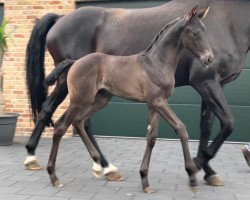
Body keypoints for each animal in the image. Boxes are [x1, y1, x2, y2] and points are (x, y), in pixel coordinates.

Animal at [47, 6, 213, 193]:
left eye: (204, 31)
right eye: (195, 33)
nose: (209, 58)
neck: (157, 63)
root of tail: (75, 62)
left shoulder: (153, 104)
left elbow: (151, 137)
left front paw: (145, 181)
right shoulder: (159, 101)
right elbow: (181, 128)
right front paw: (191, 175)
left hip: (99, 100)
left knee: (78, 121)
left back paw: (97, 165)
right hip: (80, 100)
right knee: (60, 127)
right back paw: (54, 177)